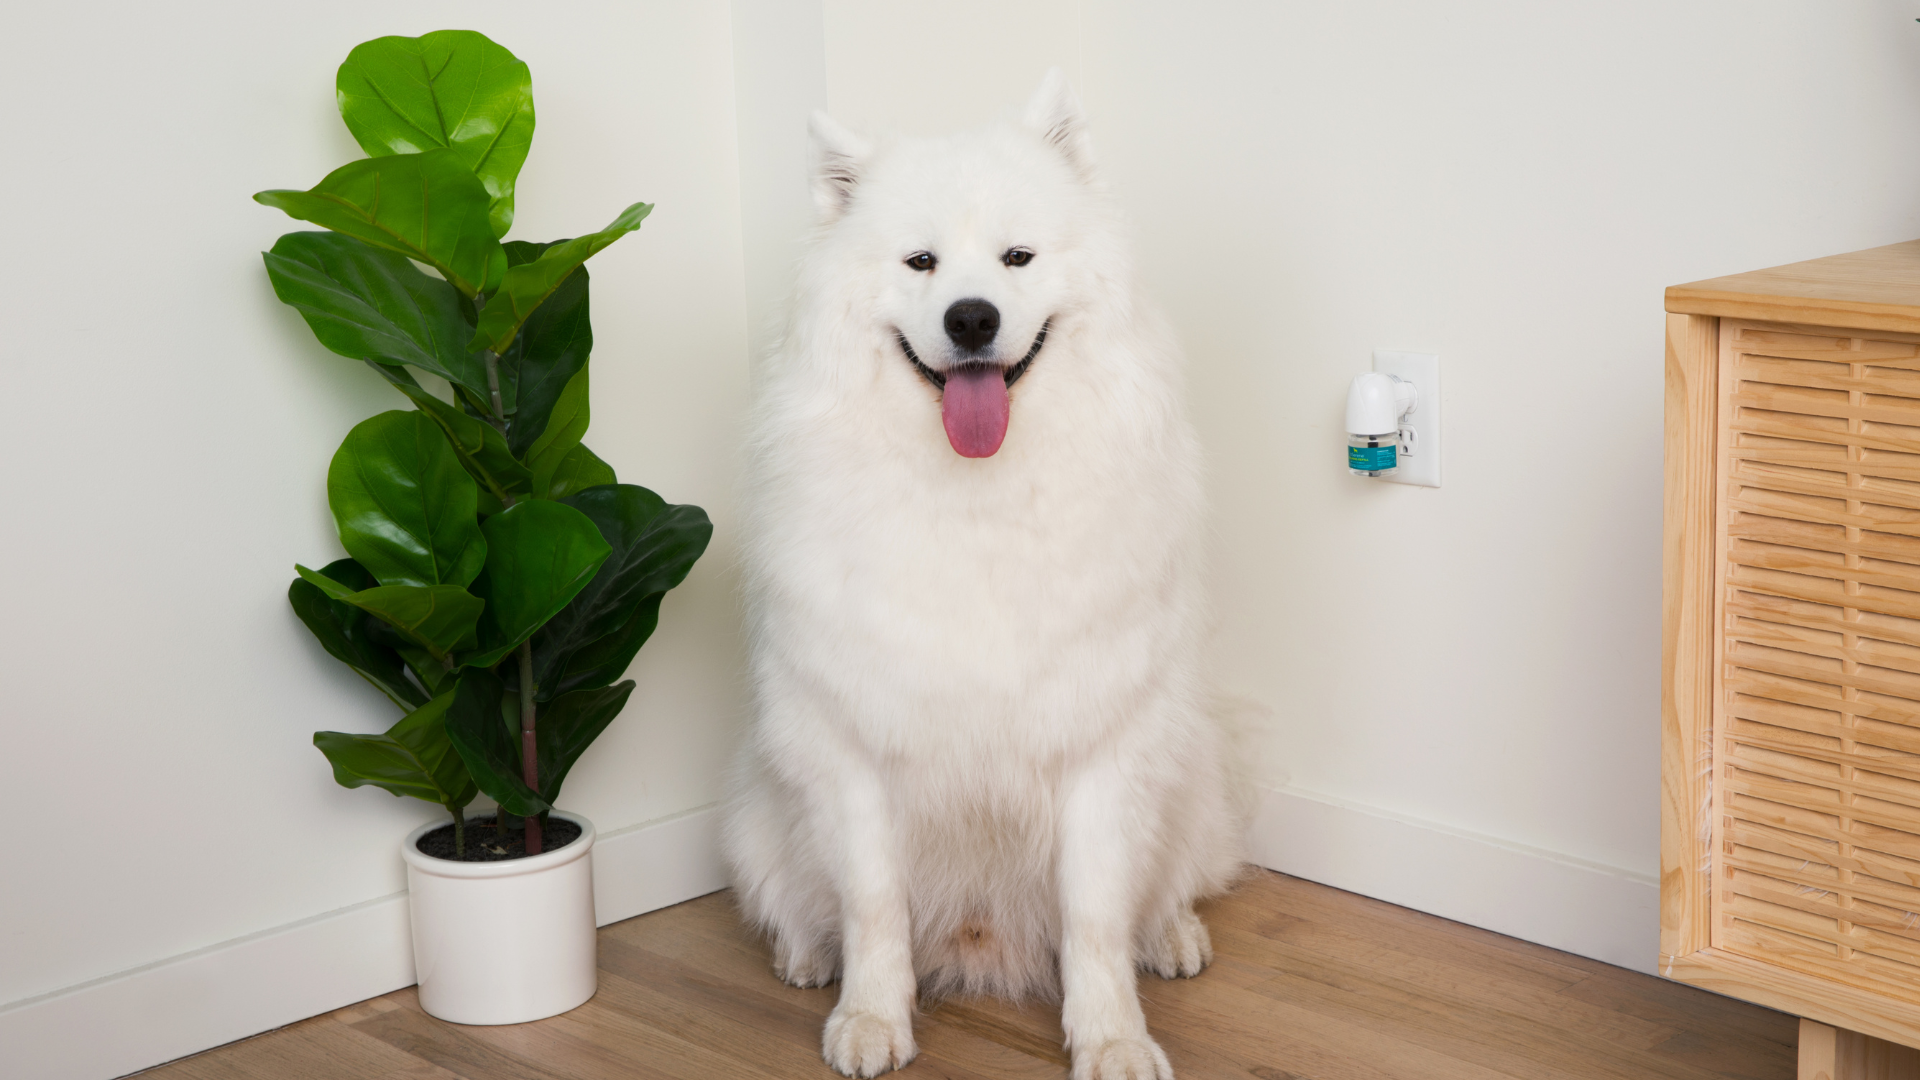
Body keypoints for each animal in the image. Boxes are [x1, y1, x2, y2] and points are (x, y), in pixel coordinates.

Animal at [721, 73, 1244, 1076]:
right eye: (921, 262)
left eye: (1017, 257)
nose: (972, 317)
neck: (977, 493)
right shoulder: (854, 746)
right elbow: (873, 905)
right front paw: (871, 1019)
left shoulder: (1101, 745)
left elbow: (1095, 915)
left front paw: (1114, 1037)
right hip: (765, 807)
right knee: (800, 901)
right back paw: (808, 957)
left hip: (1189, 774)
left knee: (1166, 887)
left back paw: (1171, 936)